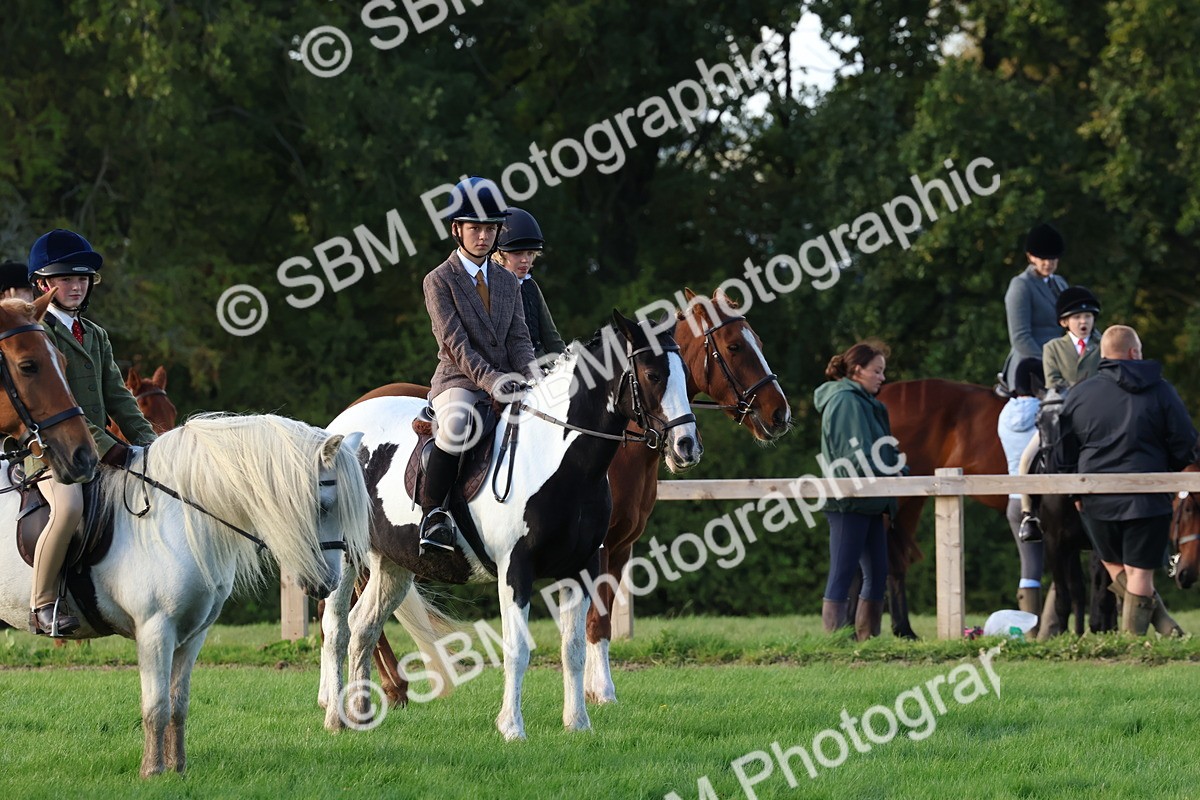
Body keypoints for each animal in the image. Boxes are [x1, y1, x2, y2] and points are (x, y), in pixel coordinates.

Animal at [0, 413, 372, 777]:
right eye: (324, 506)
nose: (329, 583)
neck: (178, 516)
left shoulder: (194, 633)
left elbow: (178, 703)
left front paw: (177, 769)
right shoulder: (155, 629)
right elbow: (156, 706)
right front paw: (152, 772)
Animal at [318, 311, 701, 741]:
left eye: (685, 372)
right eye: (652, 374)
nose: (687, 446)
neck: (559, 460)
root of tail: (341, 426)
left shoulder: (582, 567)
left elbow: (573, 647)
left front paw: (578, 723)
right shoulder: (516, 569)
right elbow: (517, 648)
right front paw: (512, 727)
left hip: (392, 564)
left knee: (363, 627)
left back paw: (360, 714)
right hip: (344, 558)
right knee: (336, 629)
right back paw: (335, 719)